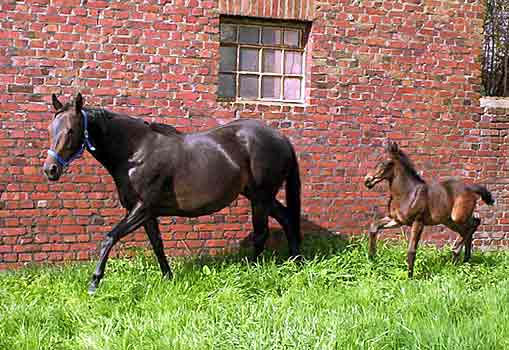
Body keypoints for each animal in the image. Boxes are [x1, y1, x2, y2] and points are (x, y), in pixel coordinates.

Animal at [43, 93, 300, 292]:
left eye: (71, 130)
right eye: (51, 128)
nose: (50, 169)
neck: (135, 153)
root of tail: (282, 139)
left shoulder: (142, 208)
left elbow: (109, 238)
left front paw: (94, 283)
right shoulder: (146, 213)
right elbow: (157, 244)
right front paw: (168, 278)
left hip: (260, 198)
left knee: (261, 233)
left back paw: (251, 270)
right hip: (261, 197)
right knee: (287, 219)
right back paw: (296, 263)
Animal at [364, 141, 494, 278]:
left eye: (387, 162)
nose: (367, 180)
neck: (406, 193)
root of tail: (471, 188)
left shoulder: (418, 222)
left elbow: (411, 250)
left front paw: (410, 277)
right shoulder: (396, 220)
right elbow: (374, 227)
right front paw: (372, 259)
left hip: (458, 217)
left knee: (474, 224)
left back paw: (457, 251)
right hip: (449, 221)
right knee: (467, 229)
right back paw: (463, 259)